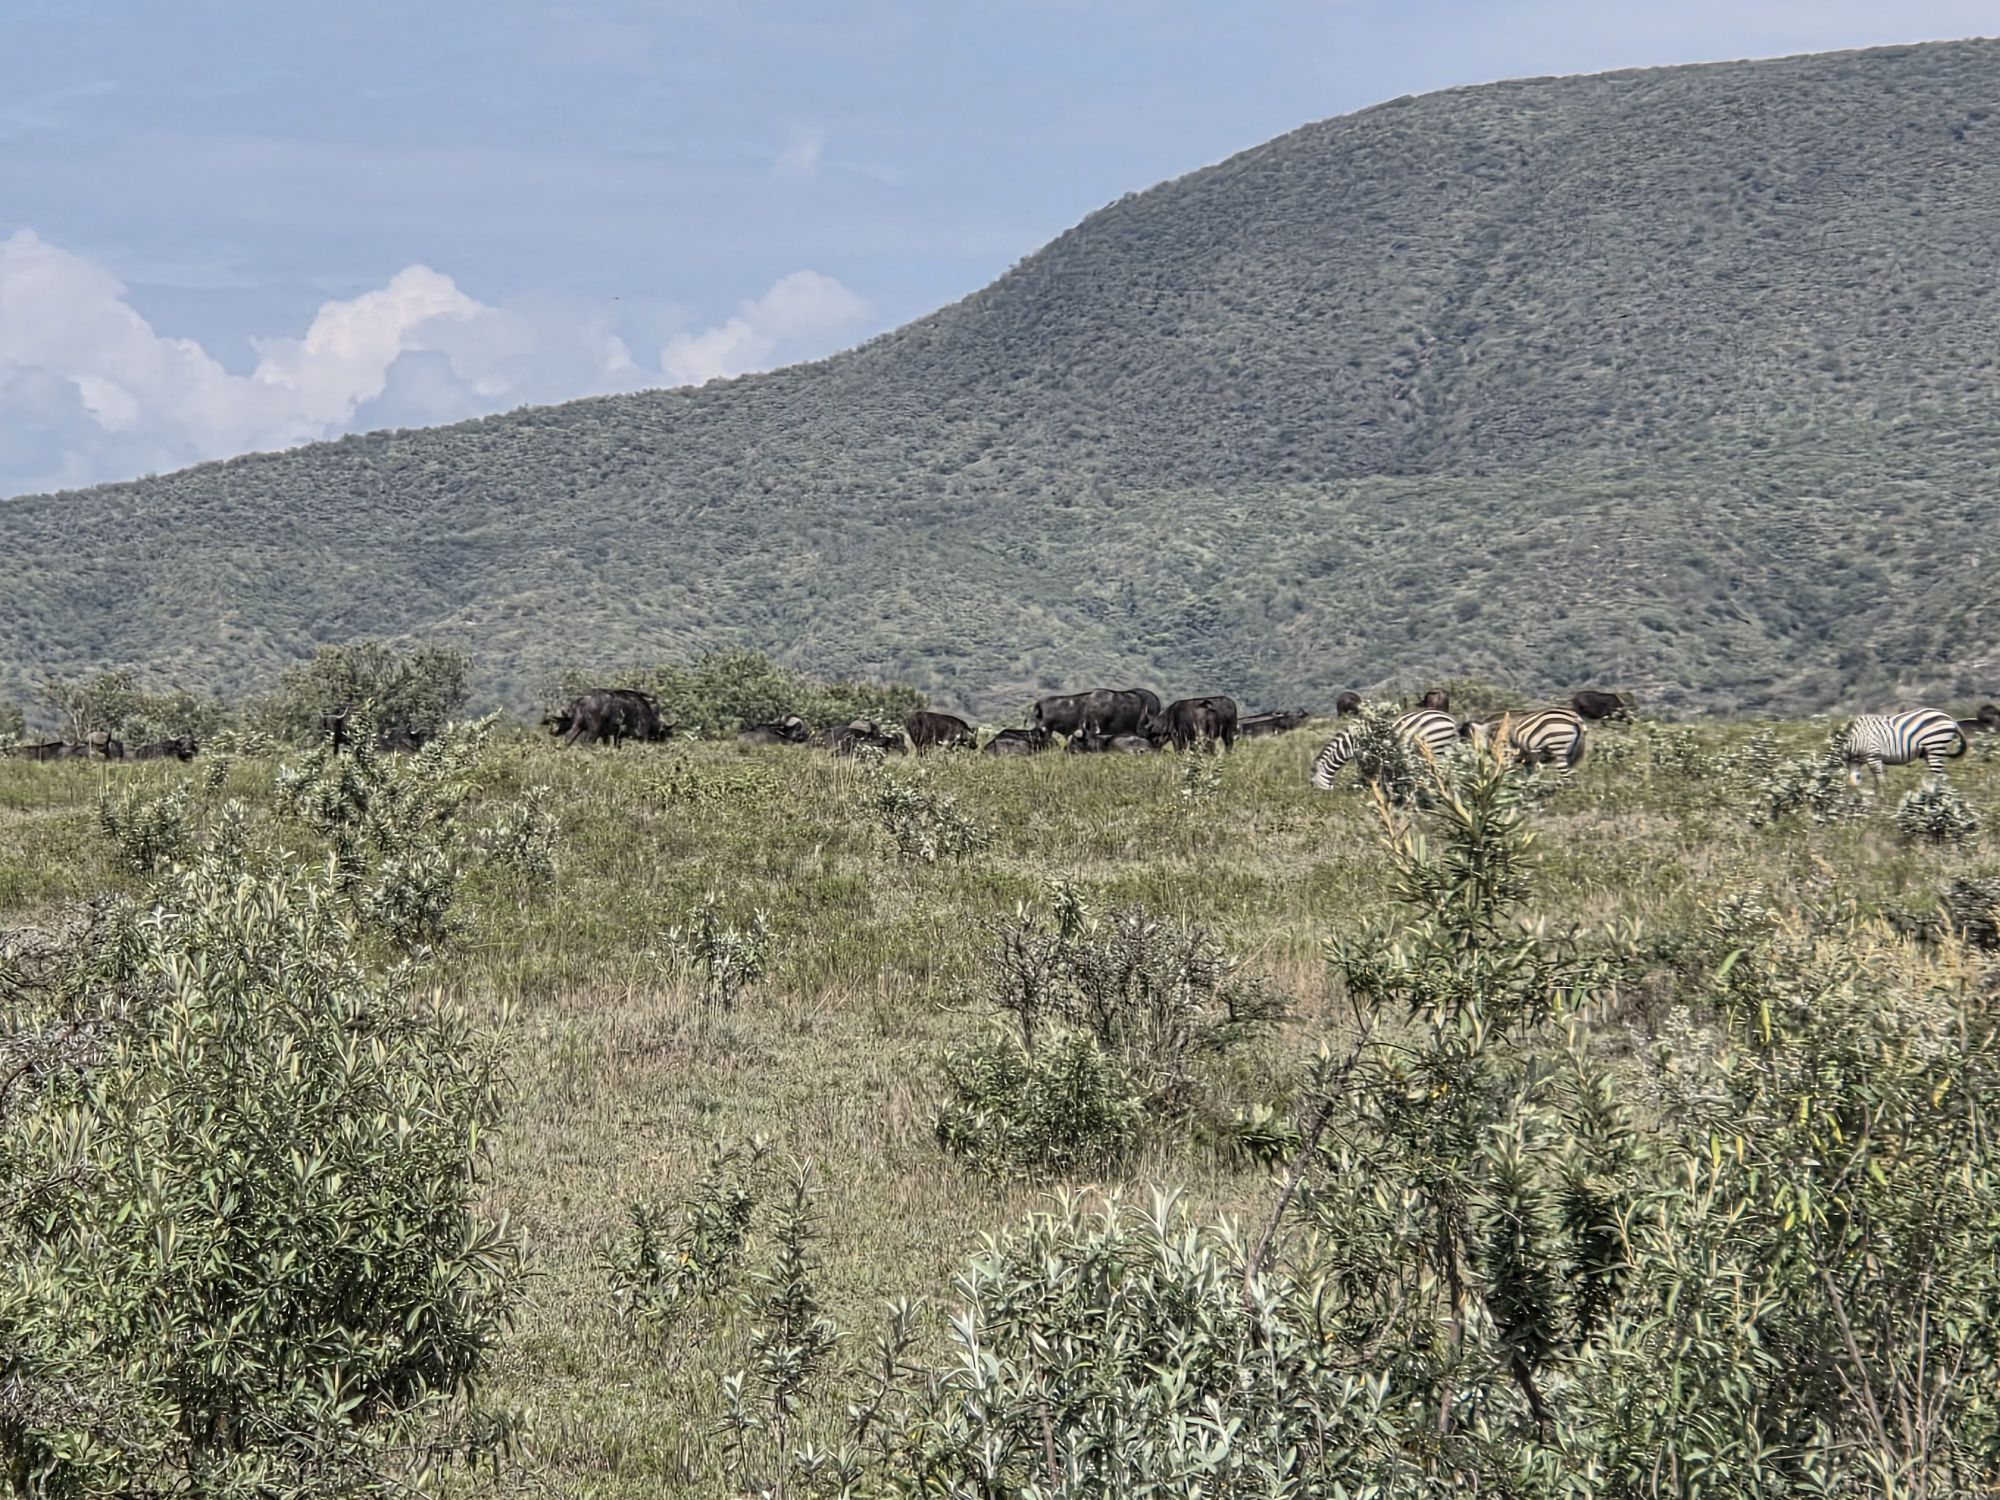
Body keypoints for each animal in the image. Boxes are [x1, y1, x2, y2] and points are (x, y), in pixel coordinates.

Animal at [1310, 709, 1458, 789]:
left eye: (1312, 784)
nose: (1316, 799)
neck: (1349, 745)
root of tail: (1449, 719)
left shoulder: (1366, 755)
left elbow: (1370, 774)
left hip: (1436, 748)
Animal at [1835, 709, 1967, 788]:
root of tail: (1950, 719)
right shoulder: (1854, 761)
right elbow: (1854, 782)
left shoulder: (1873, 756)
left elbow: (1880, 782)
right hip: (1929, 751)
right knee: (1940, 776)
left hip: (1935, 745)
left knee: (1939, 777)